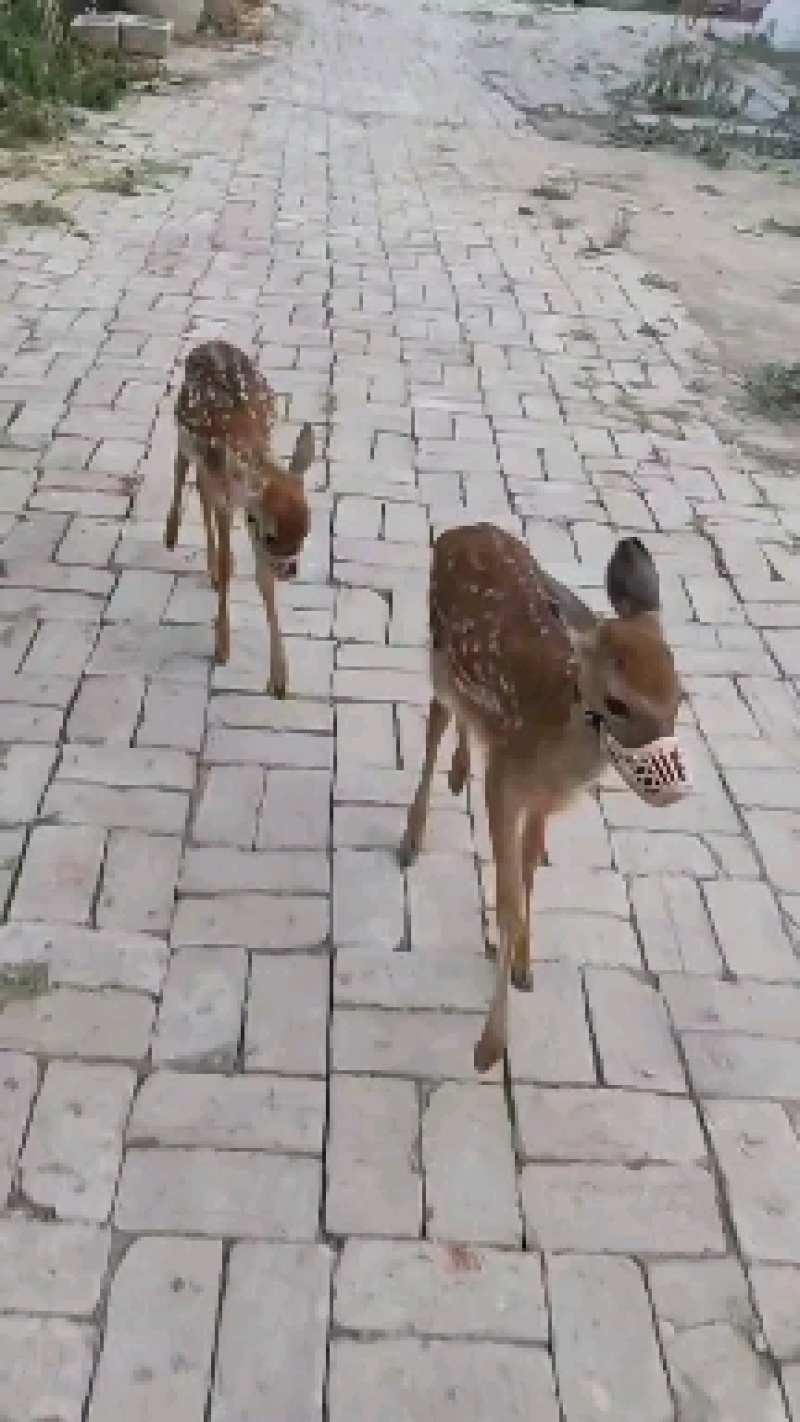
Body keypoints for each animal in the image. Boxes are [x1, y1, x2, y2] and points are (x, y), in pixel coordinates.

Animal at [164, 339, 315, 698]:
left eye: (306, 530)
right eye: (272, 535)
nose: (291, 569)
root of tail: (208, 343)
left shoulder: (243, 509)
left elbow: (264, 582)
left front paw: (279, 678)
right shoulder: (231, 503)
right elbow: (225, 563)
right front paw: (222, 648)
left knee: (199, 485)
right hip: (183, 429)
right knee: (180, 465)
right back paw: (171, 534)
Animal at [398, 525, 691, 1076]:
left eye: (680, 695)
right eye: (618, 702)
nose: (674, 791)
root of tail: (456, 532)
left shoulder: (544, 801)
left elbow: (531, 874)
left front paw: (524, 966)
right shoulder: (504, 783)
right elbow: (509, 897)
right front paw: (489, 1048)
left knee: (465, 723)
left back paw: (458, 771)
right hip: (439, 657)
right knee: (436, 721)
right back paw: (411, 838)